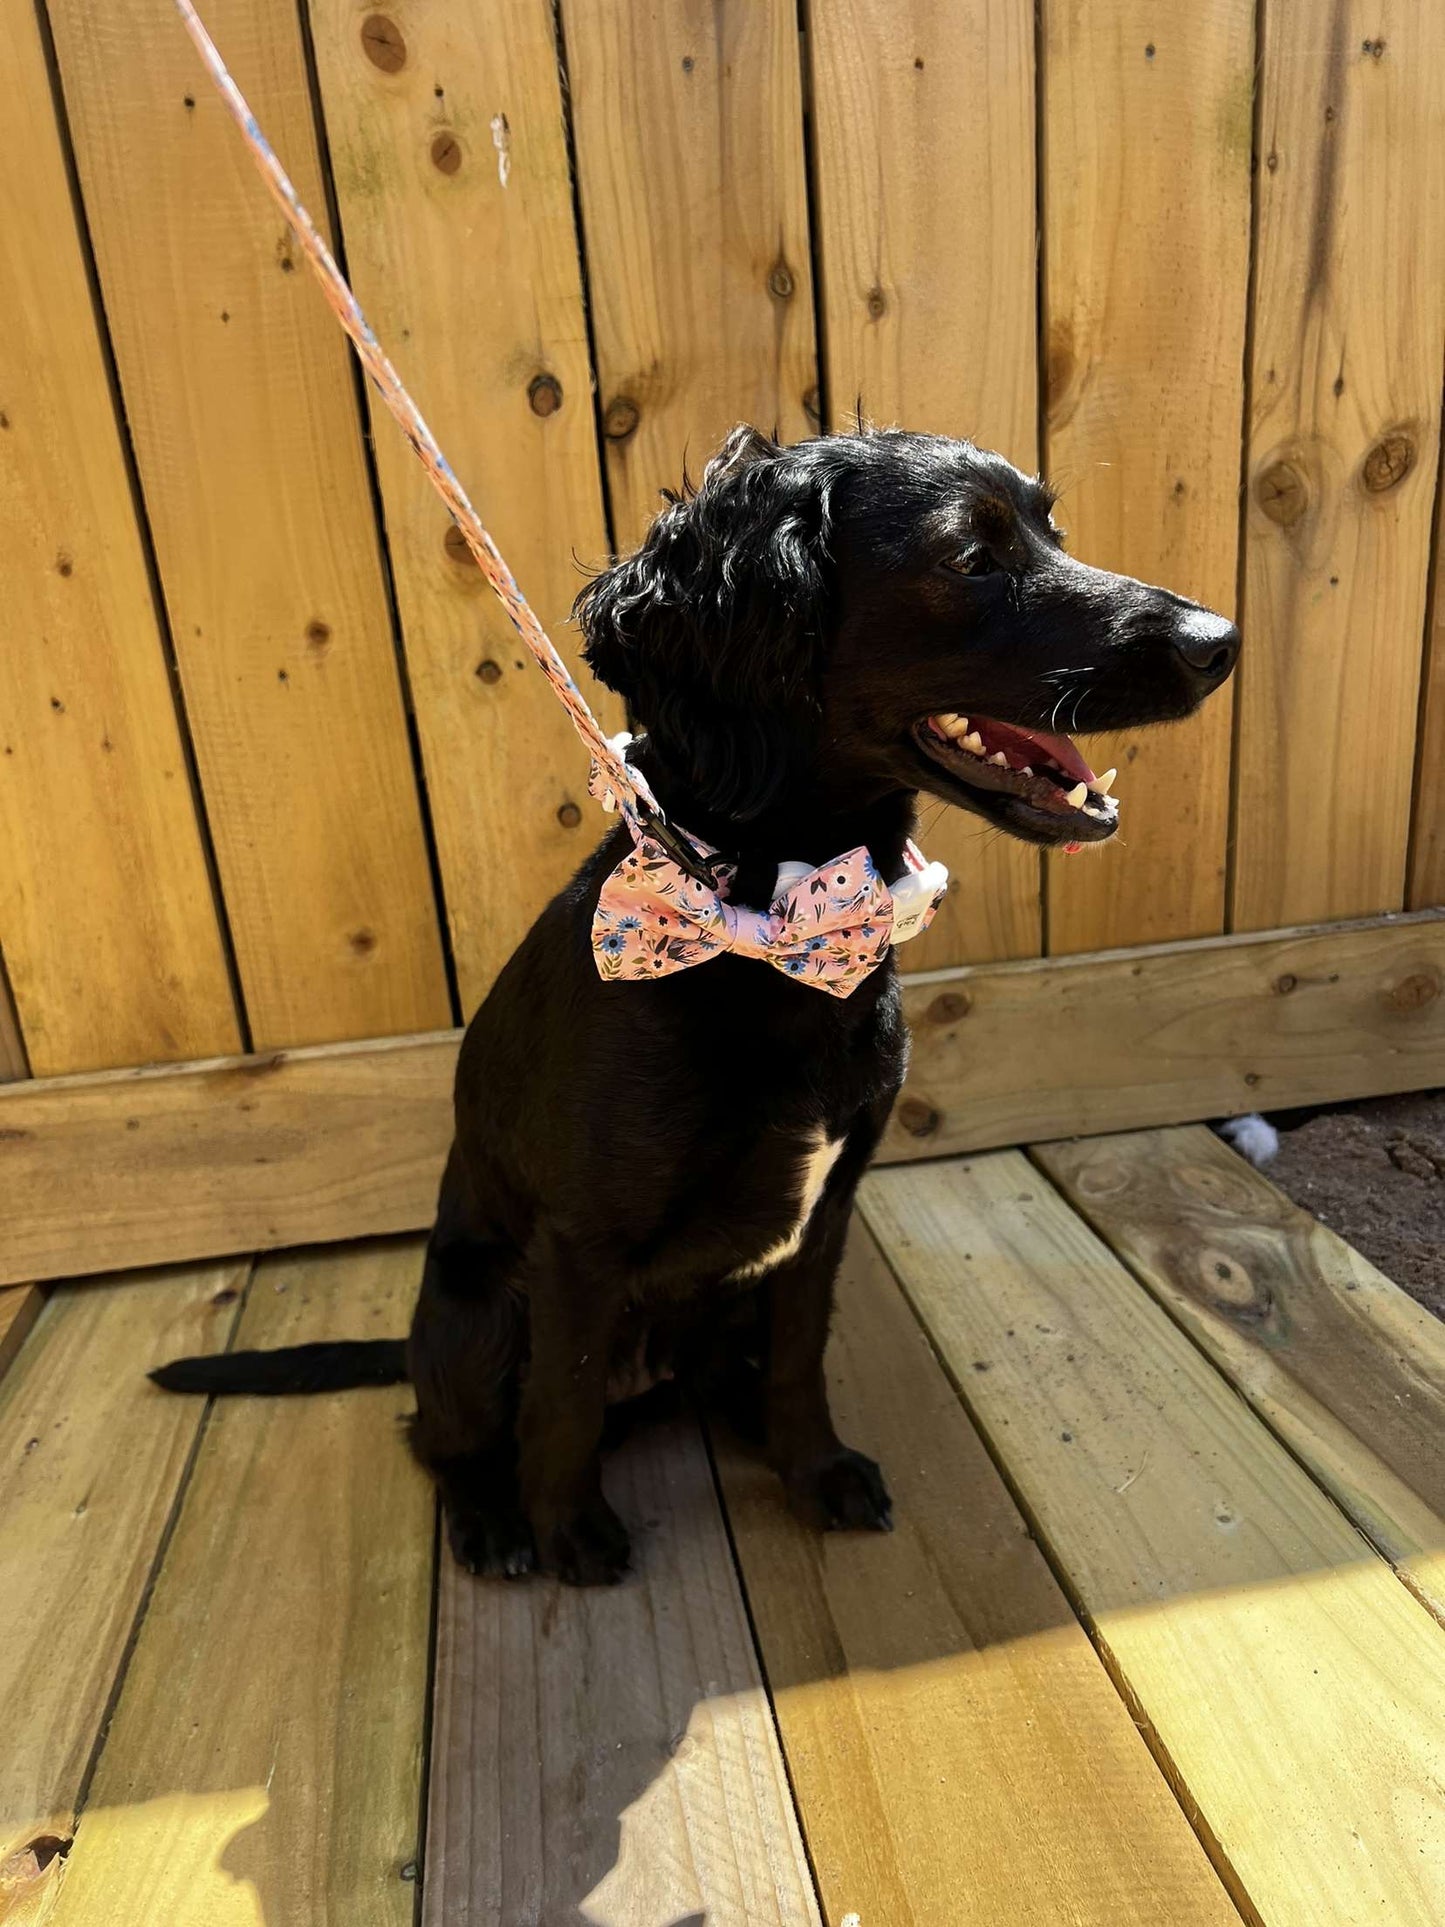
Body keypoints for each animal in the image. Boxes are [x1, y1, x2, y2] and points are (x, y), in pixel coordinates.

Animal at [160, 429, 1248, 1587]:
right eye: (967, 556)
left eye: (1053, 527)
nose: (1219, 641)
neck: (769, 931)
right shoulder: (577, 1245)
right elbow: (560, 1403)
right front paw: (568, 1528)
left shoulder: (823, 1217)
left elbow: (800, 1363)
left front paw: (813, 1468)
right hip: (472, 1312)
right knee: (443, 1432)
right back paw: (493, 1519)